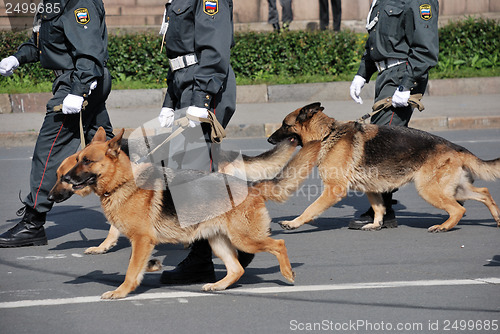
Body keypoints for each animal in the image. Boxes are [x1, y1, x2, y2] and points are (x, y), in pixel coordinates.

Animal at [268, 102, 500, 232]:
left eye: (285, 125)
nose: (269, 139)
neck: (328, 134)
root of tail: (455, 147)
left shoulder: (334, 190)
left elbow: (311, 209)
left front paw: (293, 223)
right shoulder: (372, 188)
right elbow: (379, 208)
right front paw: (376, 224)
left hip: (429, 190)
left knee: (458, 209)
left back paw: (443, 227)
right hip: (454, 188)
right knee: (484, 193)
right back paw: (497, 219)